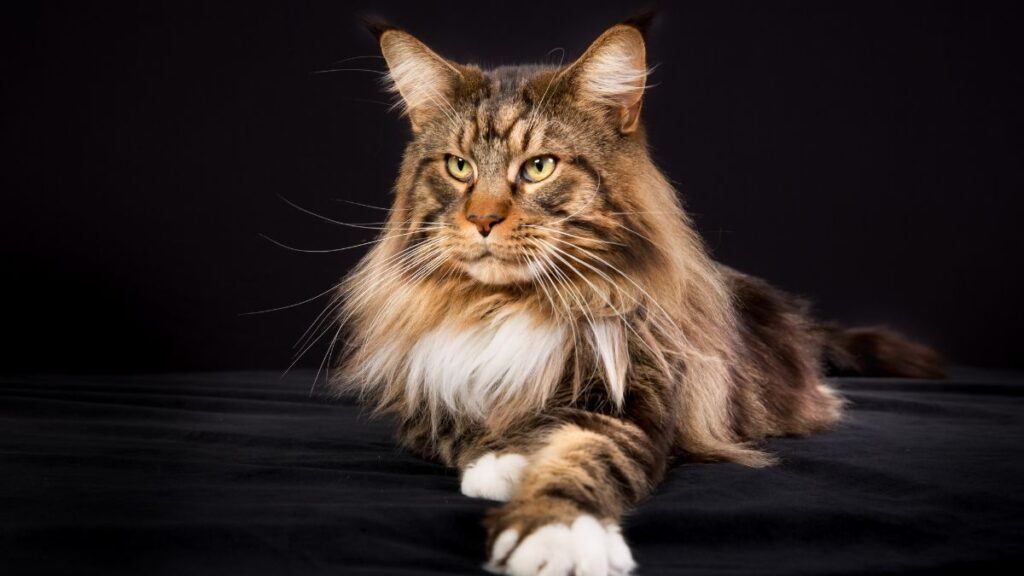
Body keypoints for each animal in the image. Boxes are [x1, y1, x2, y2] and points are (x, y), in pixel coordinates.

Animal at [329, 14, 942, 573]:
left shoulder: (630, 402)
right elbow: (464, 425)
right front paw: (503, 458)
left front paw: (554, 529)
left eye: (539, 167)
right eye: (459, 168)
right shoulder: (424, 397)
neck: (511, 304)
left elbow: (579, 455)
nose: (481, 220)